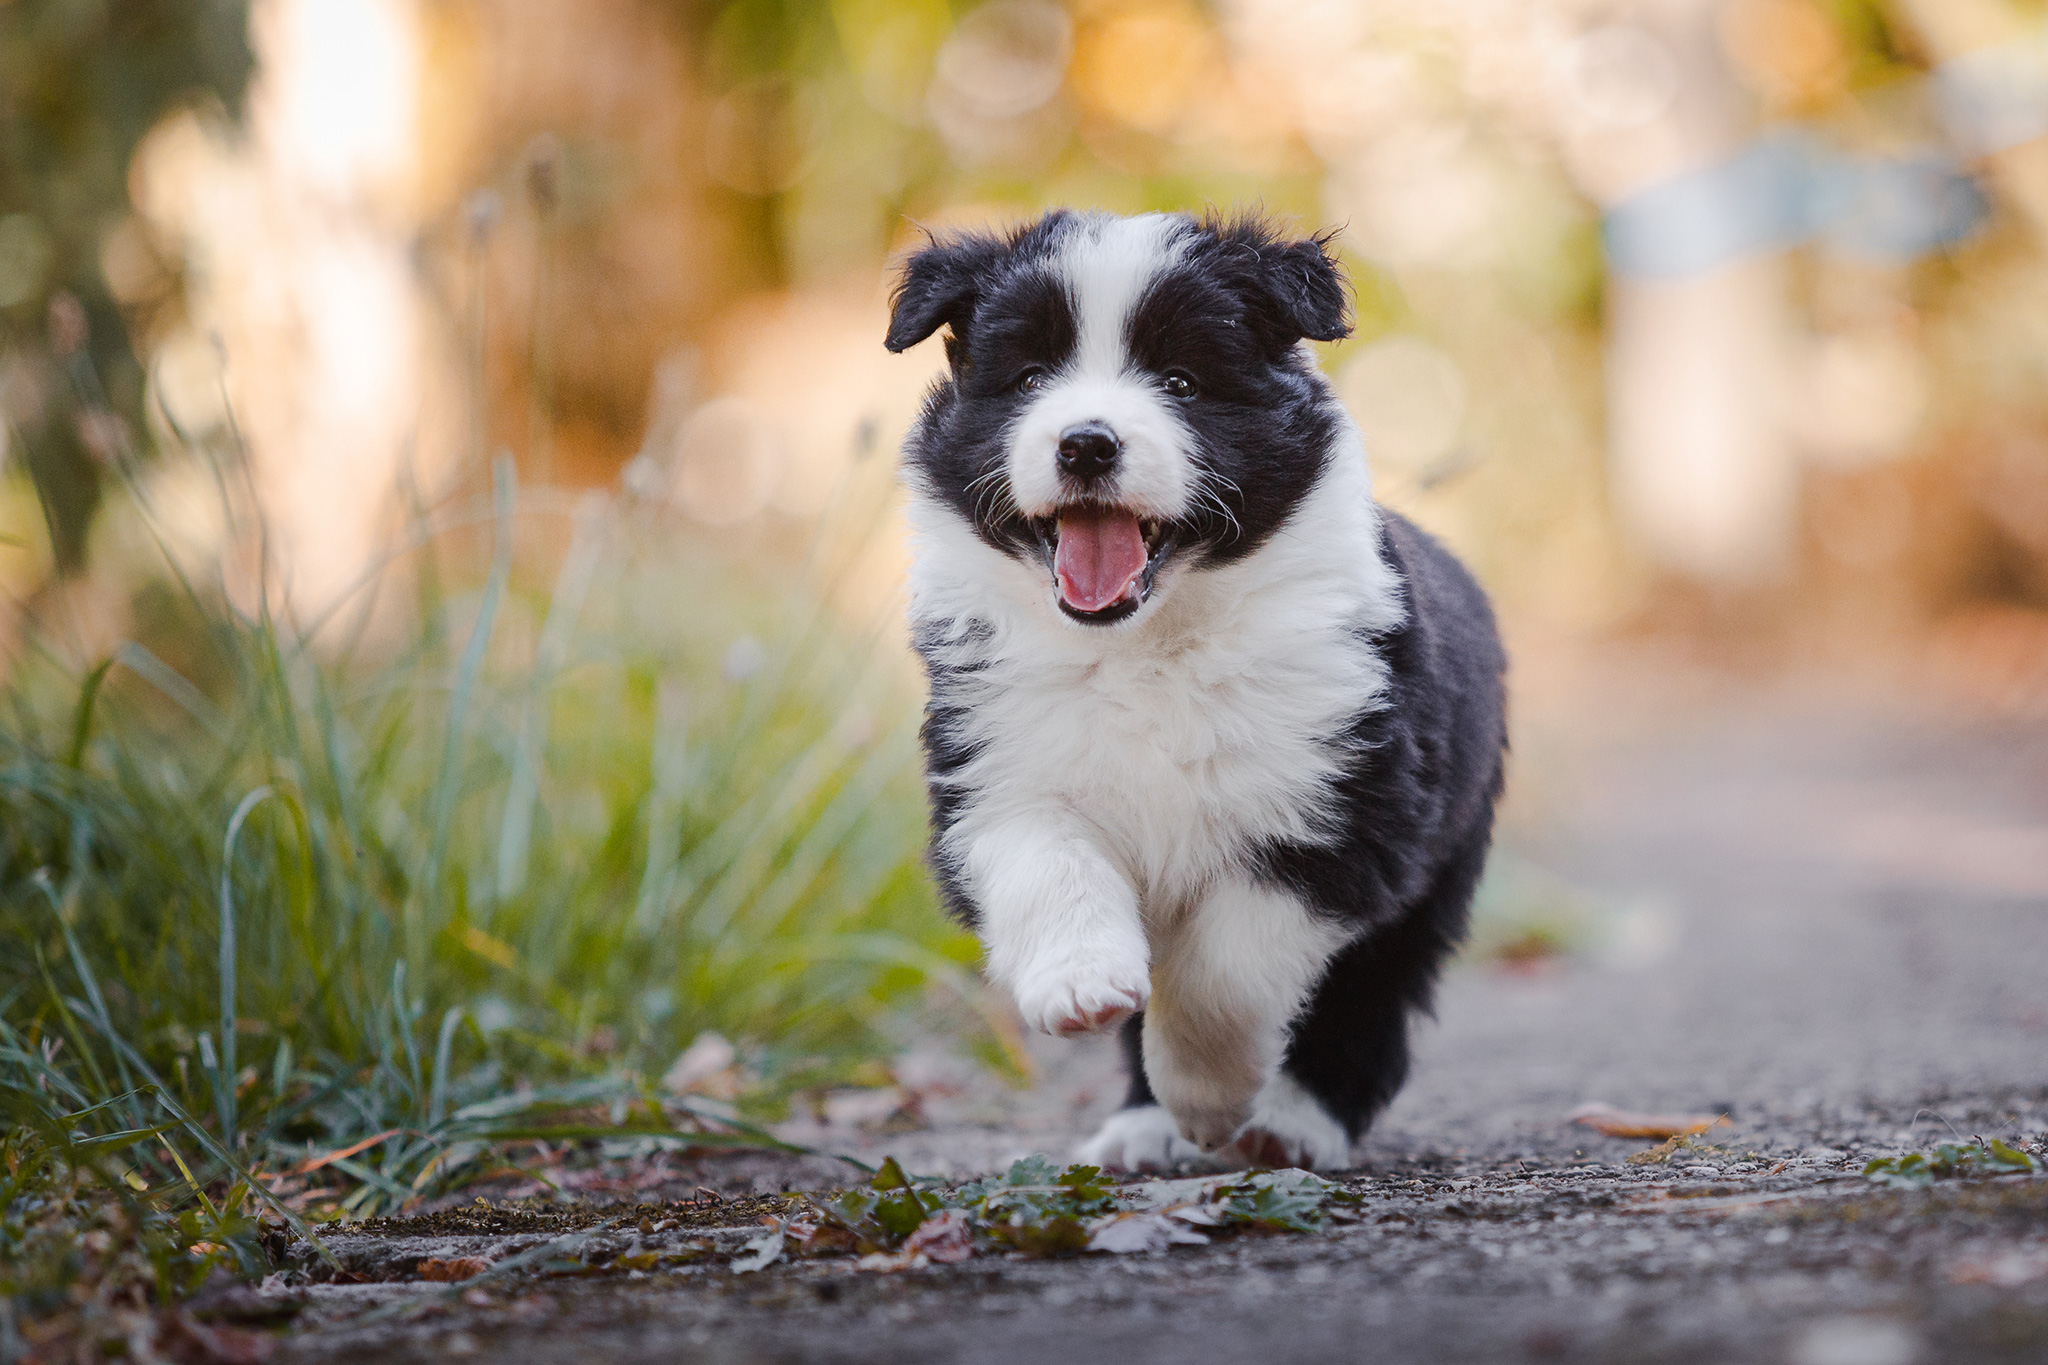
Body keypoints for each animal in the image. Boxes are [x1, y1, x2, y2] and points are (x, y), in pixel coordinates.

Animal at [880, 208, 1507, 1170]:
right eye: (1028, 377)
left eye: (1181, 379)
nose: (1086, 442)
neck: (1147, 643)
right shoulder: (996, 771)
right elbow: (1048, 863)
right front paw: (1081, 983)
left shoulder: (1342, 808)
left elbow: (1224, 969)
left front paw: (1207, 1098)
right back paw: (1141, 1128)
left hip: (1437, 868)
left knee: (1365, 1005)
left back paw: (1291, 1125)